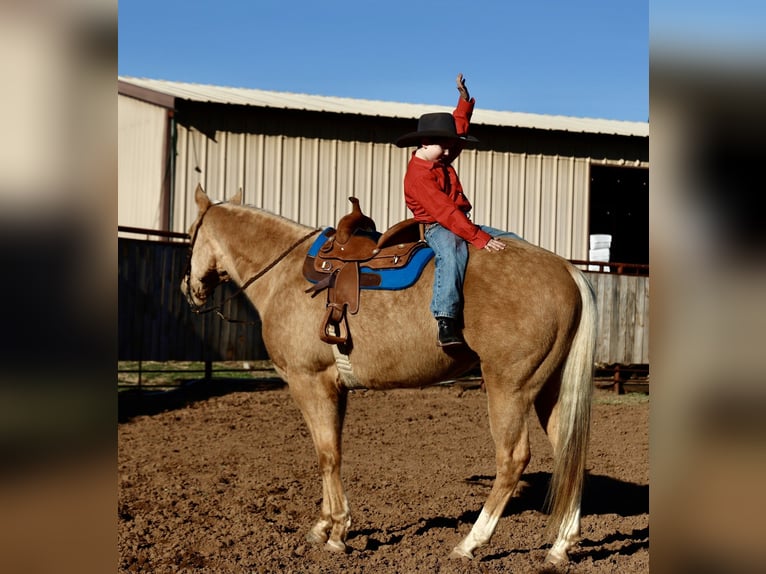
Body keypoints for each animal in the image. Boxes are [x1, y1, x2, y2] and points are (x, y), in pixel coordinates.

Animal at [181, 185, 597, 565]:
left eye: (190, 234)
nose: (190, 288)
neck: (286, 273)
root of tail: (566, 270)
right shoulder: (335, 387)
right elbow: (333, 451)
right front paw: (325, 525)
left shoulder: (308, 381)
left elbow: (326, 454)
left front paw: (336, 532)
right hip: (550, 389)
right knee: (568, 452)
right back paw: (561, 546)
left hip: (509, 388)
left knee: (512, 459)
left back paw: (470, 543)